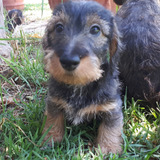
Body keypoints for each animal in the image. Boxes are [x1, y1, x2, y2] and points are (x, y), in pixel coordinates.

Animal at [42, 0, 122, 154]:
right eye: (59, 27)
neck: (79, 85)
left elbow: (110, 128)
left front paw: (108, 148)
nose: (68, 60)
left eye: (95, 29)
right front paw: (50, 139)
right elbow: (53, 120)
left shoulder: (112, 107)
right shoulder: (53, 101)